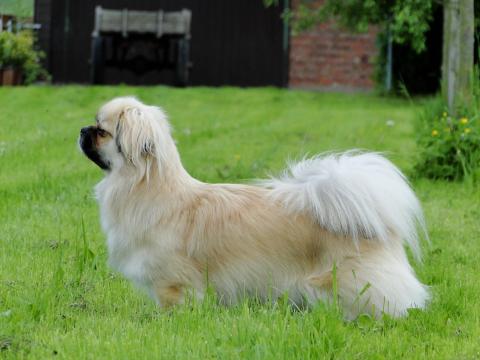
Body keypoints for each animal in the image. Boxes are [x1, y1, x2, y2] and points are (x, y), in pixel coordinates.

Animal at [79, 95, 432, 318]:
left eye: (101, 131)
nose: (82, 130)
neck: (149, 189)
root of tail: (379, 227)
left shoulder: (173, 284)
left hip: (350, 281)